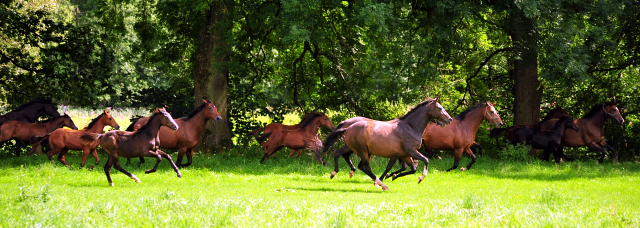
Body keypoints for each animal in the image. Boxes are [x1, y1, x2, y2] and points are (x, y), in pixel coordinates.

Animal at [322, 98, 452, 191]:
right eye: (439, 108)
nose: (449, 119)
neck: (410, 127)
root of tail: (348, 128)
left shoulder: (404, 155)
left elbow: (412, 169)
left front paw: (393, 176)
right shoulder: (410, 151)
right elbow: (425, 160)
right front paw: (420, 178)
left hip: (361, 150)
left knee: (345, 157)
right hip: (362, 151)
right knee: (364, 167)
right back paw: (381, 185)